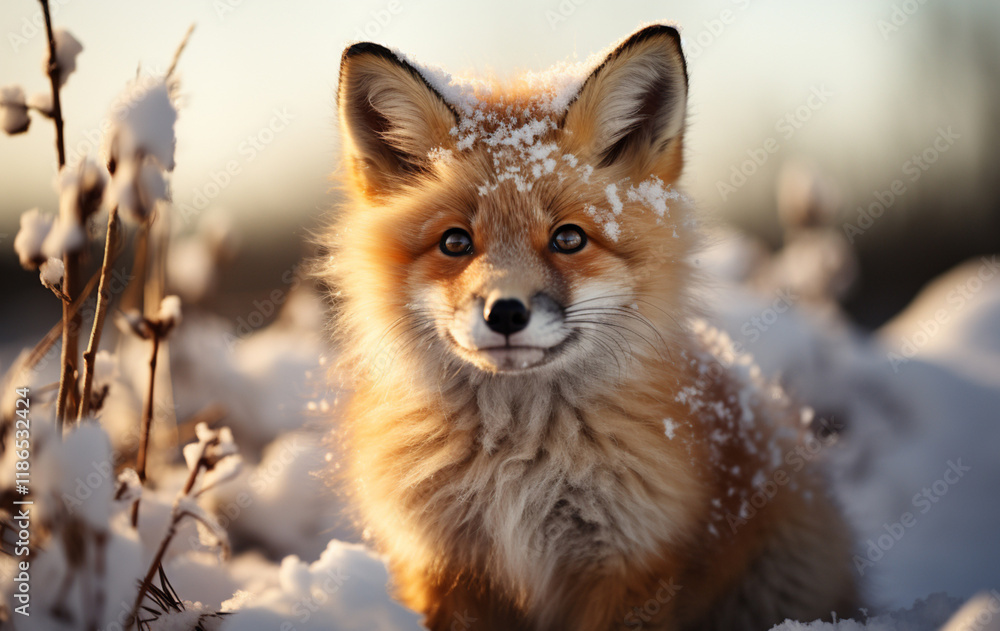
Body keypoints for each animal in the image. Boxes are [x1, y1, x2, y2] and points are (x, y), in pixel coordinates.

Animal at [320, 24, 858, 631]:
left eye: (569, 238)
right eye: (455, 242)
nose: (506, 313)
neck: (516, 467)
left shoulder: (629, 562)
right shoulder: (444, 565)